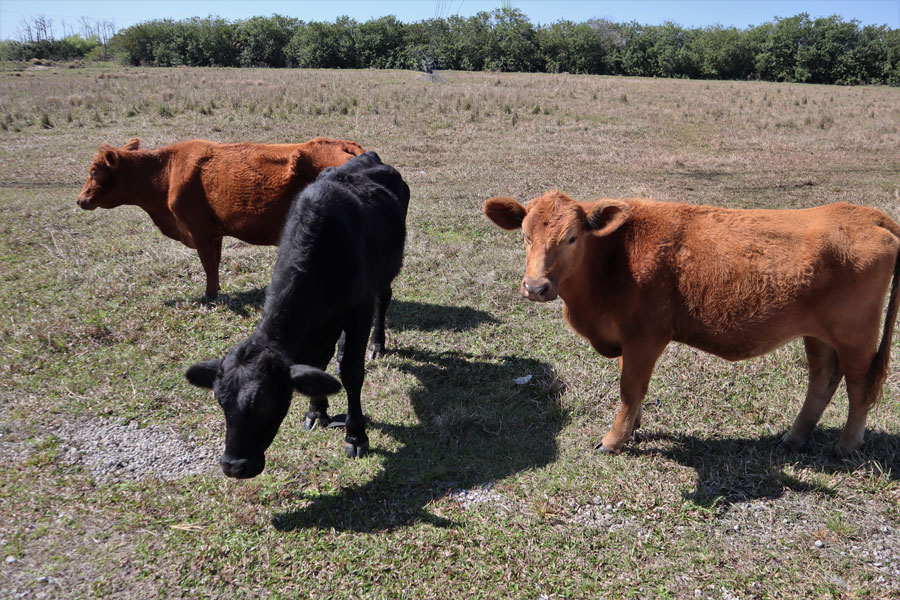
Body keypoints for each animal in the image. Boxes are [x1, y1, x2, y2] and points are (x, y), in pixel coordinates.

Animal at [77, 135, 364, 296]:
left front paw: (210, 297)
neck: (167, 171)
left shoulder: (199, 231)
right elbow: (214, 263)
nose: (80, 200)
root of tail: (345, 145)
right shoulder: (214, 234)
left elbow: (208, 265)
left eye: (94, 172)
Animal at [187, 151, 412, 478]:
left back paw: (377, 345)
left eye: (264, 403)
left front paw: (356, 435)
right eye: (220, 401)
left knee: (384, 300)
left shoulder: (359, 309)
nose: (234, 466)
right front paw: (317, 411)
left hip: (385, 275)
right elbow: (316, 366)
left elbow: (351, 373)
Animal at [486, 191, 900, 454]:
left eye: (571, 237)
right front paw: (633, 428)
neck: (615, 257)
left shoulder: (645, 336)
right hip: (818, 334)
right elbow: (631, 389)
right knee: (823, 379)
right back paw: (793, 439)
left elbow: (630, 389)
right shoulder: (625, 336)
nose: (535, 287)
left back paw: (846, 445)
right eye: (525, 237)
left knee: (859, 386)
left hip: (856, 335)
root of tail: (866, 215)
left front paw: (614, 440)